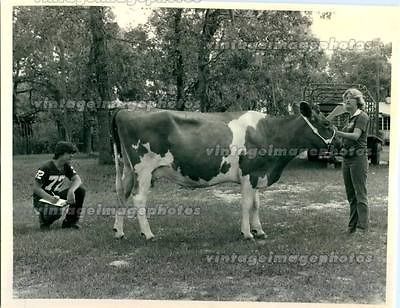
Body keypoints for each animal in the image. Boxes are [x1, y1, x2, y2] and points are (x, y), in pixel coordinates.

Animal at [111, 103, 338, 241]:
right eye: (326, 123)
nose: (340, 143)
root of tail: (125, 111)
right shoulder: (248, 173)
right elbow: (247, 204)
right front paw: (247, 233)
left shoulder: (257, 173)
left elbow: (256, 204)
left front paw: (259, 230)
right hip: (143, 169)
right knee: (138, 199)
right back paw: (148, 233)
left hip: (127, 168)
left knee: (122, 194)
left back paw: (119, 232)